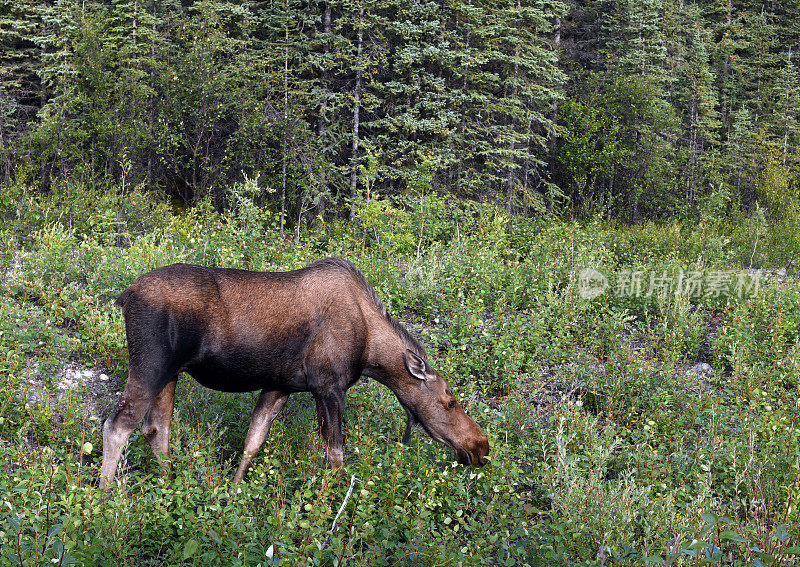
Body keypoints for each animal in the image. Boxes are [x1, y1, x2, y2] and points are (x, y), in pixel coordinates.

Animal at [100, 258, 488, 488]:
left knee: (155, 429)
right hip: (150, 366)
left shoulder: (280, 385)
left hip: (170, 374)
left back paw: (168, 486)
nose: (480, 446)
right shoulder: (328, 386)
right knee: (117, 426)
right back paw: (105, 498)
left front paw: (233, 491)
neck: (370, 351)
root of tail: (126, 295)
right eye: (450, 401)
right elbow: (335, 454)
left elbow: (253, 441)